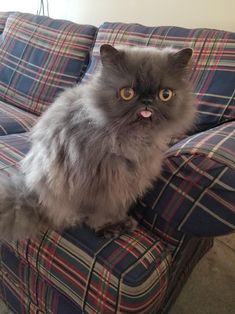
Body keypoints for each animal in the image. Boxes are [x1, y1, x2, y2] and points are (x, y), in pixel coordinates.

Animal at [0, 44, 196, 240]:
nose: (147, 101)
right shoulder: (104, 183)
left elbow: (119, 206)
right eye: (127, 93)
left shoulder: (129, 179)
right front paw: (108, 227)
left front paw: (121, 221)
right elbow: (102, 213)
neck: (134, 139)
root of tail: (30, 194)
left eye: (165, 94)